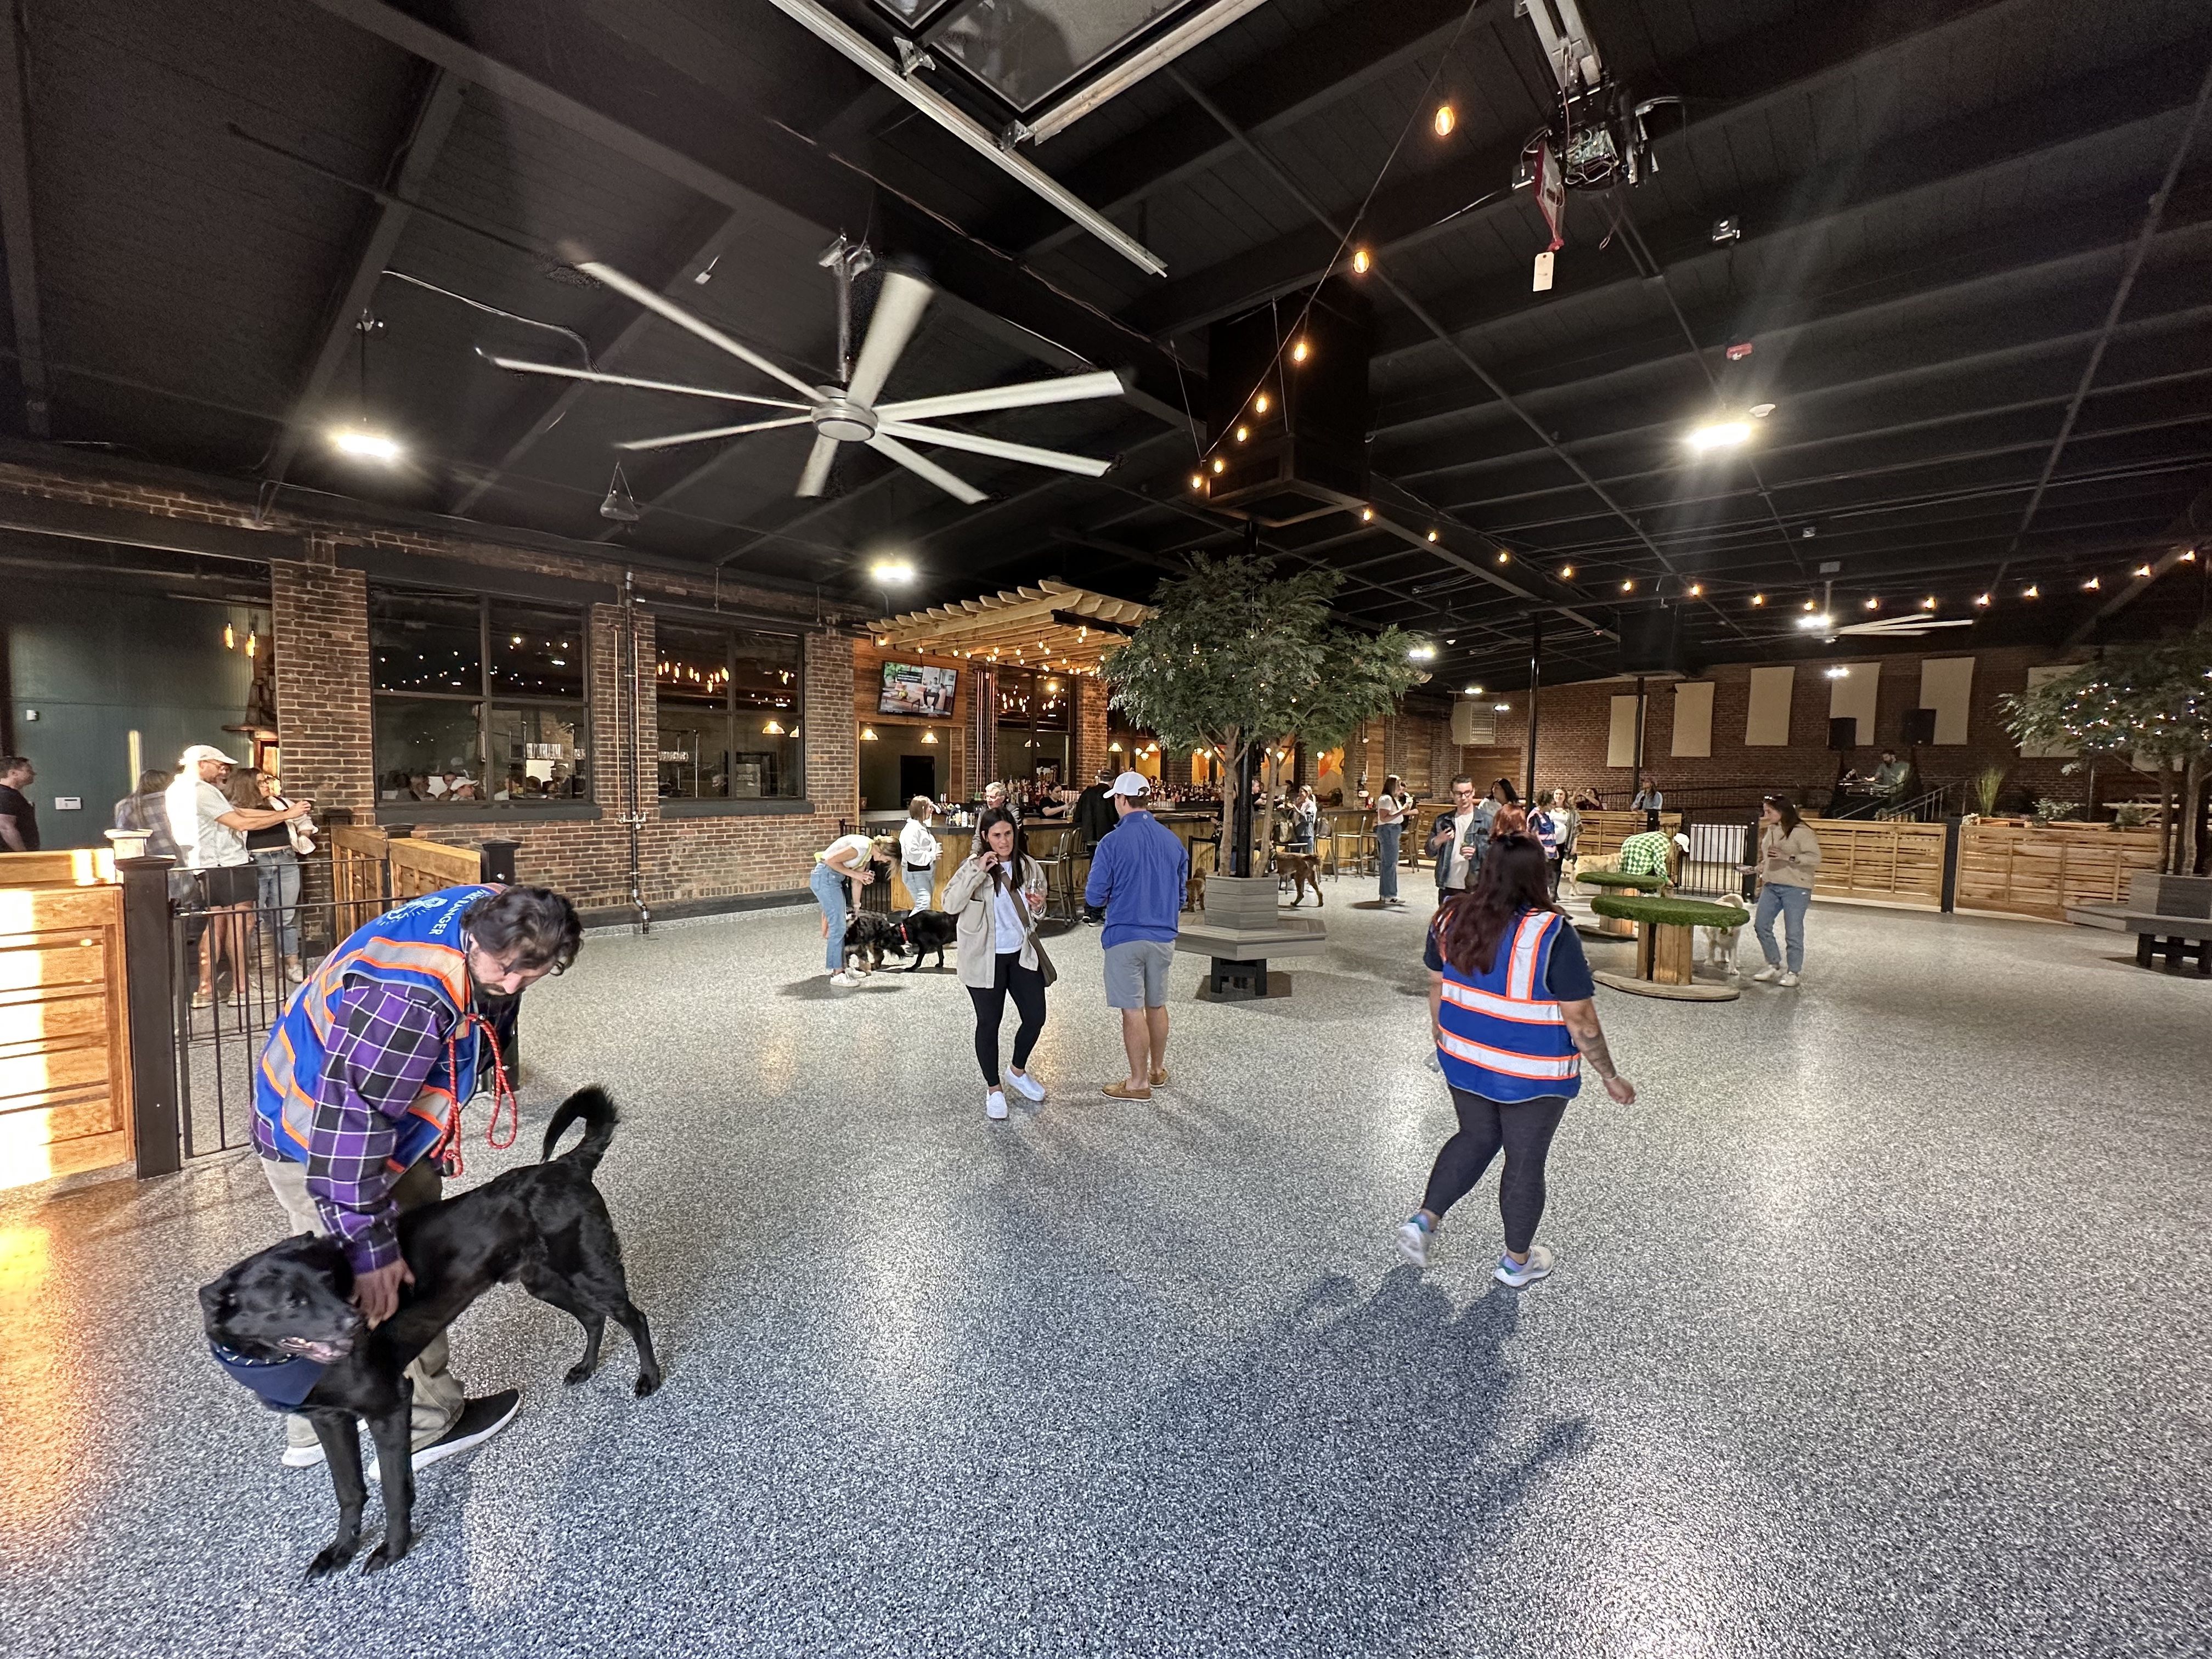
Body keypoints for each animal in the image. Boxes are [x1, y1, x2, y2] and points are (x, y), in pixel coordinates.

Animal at [201, 1084, 654, 1575]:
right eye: (291, 1301)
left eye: (329, 1282)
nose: (358, 1321)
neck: (281, 1363)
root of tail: (564, 1165)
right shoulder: (329, 1420)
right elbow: (349, 1491)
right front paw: (342, 1548)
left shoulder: (388, 1406)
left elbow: (393, 1488)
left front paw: (393, 1549)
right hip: (545, 1281)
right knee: (593, 1318)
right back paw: (586, 1368)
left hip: (588, 1272)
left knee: (635, 1318)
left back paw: (649, 1377)